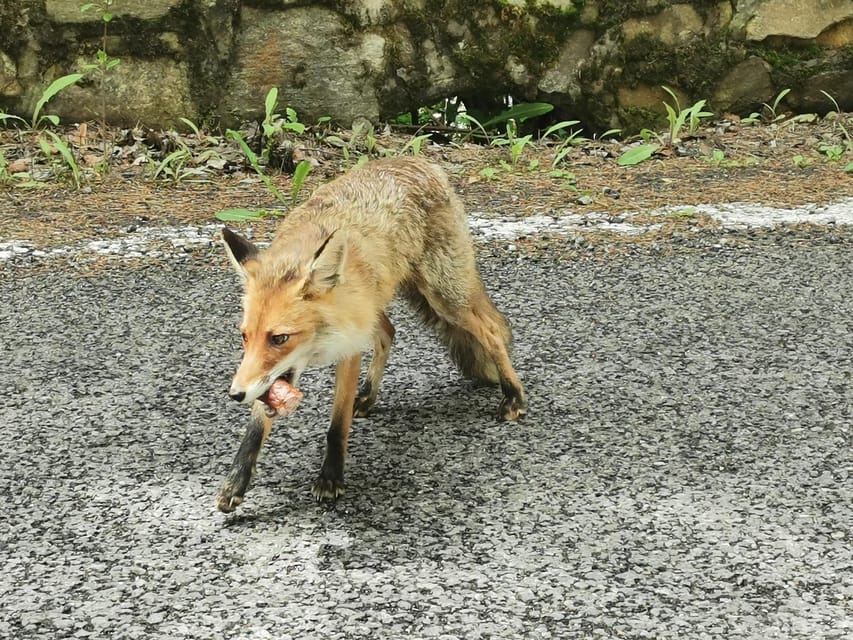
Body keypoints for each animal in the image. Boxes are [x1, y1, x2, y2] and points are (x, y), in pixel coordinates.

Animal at [218, 155, 524, 510]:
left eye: (279, 338)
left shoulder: (350, 346)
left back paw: (513, 396)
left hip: (444, 298)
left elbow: (337, 426)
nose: (235, 394)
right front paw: (236, 482)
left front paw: (331, 477)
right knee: (389, 332)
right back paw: (368, 396)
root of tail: (420, 161)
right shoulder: (267, 371)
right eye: (244, 336)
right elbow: (256, 427)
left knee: (491, 332)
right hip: (382, 305)